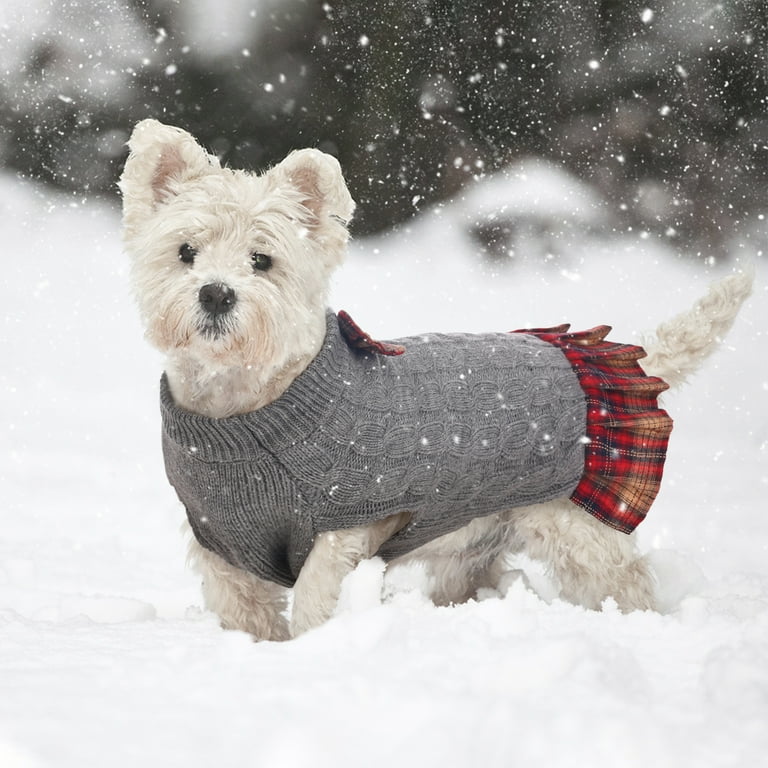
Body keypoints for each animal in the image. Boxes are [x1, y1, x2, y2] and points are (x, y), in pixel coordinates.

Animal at [121, 120, 756, 640]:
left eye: (262, 260)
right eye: (186, 251)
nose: (216, 293)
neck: (242, 406)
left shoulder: (348, 526)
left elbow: (315, 601)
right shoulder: (220, 543)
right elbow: (245, 615)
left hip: (580, 532)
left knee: (624, 586)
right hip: (476, 548)